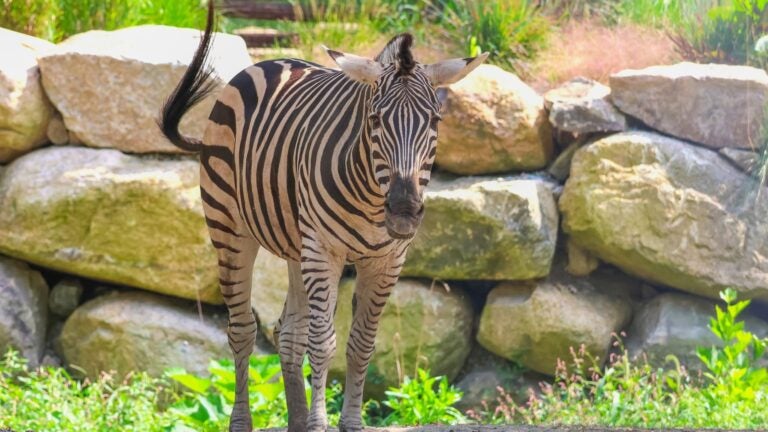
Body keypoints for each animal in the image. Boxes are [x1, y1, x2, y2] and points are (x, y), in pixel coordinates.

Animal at [159, 3, 487, 431]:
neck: (372, 198)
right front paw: (319, 423)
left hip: (296, 248)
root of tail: (274, 62)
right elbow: (323, 342)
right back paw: (243, 421)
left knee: (287, 332)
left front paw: (350, 423)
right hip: (230, 226)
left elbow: (361, 343)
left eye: (436, 121)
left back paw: (296, 420)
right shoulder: (325, 251)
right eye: (375, 121)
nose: (403, 212)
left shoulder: (387, 260)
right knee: (243, 329)